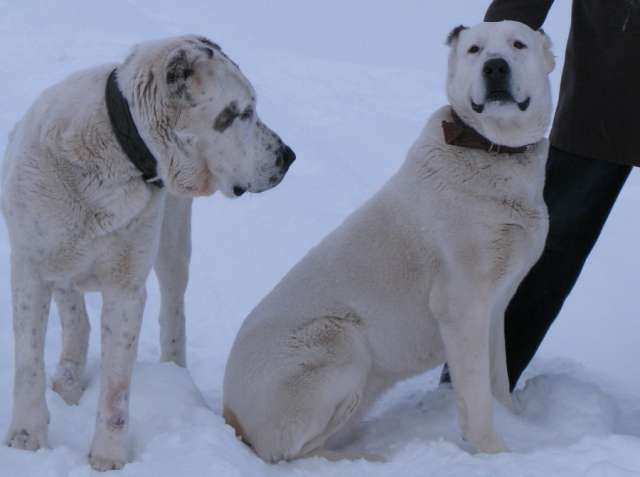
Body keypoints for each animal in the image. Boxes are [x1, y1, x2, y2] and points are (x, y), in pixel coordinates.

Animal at [0, 35, 296, 470]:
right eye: (241, 113)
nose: (288, 156)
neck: (116, 148)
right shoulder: (29, 269)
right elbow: (27, 364)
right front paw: (26, 439)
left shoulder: (126, 289)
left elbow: (116, 389)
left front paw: (107, 458)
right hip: (62, 253)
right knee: (74, 312)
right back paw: (68, 380)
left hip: (172, 243)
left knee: (173, 310)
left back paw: (174, 376)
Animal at [222, 20, 552, 460]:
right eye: (474, 50)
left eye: (518, 44)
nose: (495, 67)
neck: (492, 150)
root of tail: (230, 414)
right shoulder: (461, 306)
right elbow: (477, 395)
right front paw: (496, 453)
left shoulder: (495, 305)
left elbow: (497, 377)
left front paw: (515, 420)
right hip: (339, 340)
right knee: (292, 452)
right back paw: (367, 458)